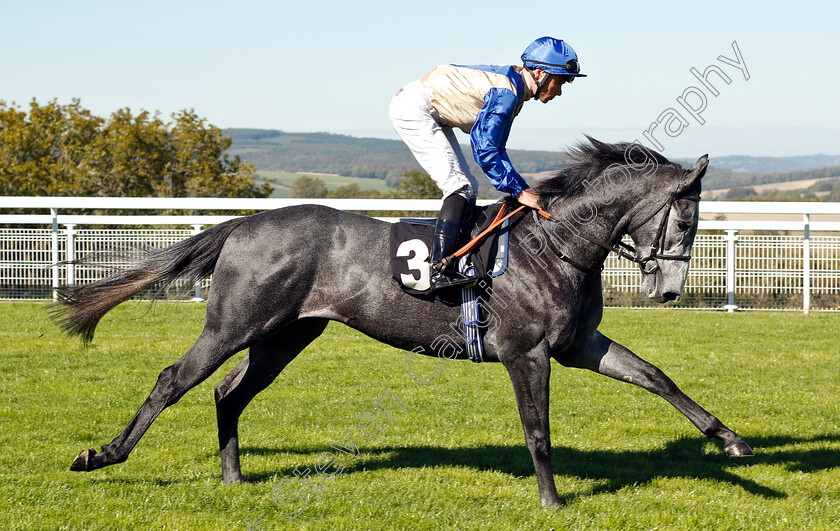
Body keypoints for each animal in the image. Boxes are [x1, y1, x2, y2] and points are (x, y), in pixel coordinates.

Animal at [59, 137, 756, 508]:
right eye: (688, 218)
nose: (670, 290)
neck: (553, 246)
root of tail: (243, 224)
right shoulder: (526, 353)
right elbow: (538, 430)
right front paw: (553, 500)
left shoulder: (577, 344)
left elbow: (656, 376)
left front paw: (731, 441)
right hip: (233, 325)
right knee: (173, 380)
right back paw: (103, 455)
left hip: (285, 335)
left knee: (230, 393)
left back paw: (234, 477)